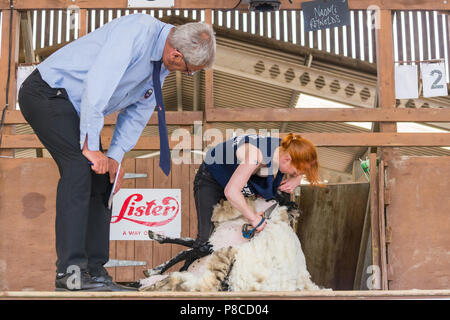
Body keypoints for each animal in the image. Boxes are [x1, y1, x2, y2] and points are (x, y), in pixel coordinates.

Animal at [139, 194, 322, 292]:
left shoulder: (210, 246)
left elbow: (185, 251)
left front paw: (152, 269)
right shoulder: (208, 242)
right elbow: (185, 244)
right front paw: (156, 237)